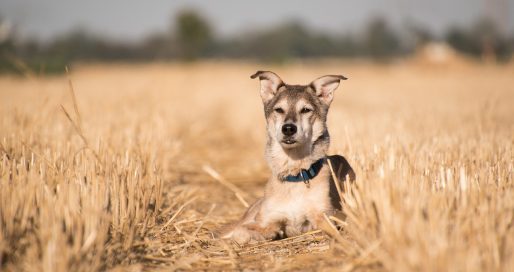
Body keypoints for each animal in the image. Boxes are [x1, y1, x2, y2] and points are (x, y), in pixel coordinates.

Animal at [218, 70, 354, 244]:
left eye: (305, 110)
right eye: (279, 110)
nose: (288, 128)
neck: (293, 174)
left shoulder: (324, 216)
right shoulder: (267, 219)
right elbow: (243, 232)